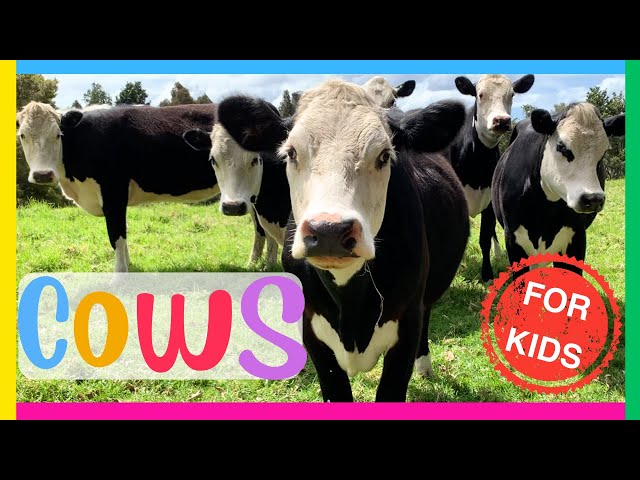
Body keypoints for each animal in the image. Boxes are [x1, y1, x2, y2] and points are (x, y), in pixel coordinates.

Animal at [16, 101, 269, 272]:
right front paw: (129, 265)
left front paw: (119, 274)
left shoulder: (113, 192)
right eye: (22, 135)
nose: (42, 175)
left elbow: (116, 235)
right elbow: (121, 236)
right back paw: (255, 262)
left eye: (58, 134)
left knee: (261, 224)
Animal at [448, 74, 535, 281]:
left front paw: (487, 273)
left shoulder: (489, 203)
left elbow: (485, 238)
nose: (501, 120)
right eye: (480, 94)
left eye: (512, 95)